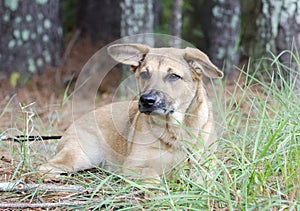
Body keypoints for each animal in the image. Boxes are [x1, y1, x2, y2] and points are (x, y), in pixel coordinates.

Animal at [38, 43, 223, 181]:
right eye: (145, 74)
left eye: (174, 76)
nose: (146, 100)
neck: (173, 132)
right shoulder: (132, 166)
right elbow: (150, 173)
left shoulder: (209, 162)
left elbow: (204, 176)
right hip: (79, 155)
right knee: (44, 168)